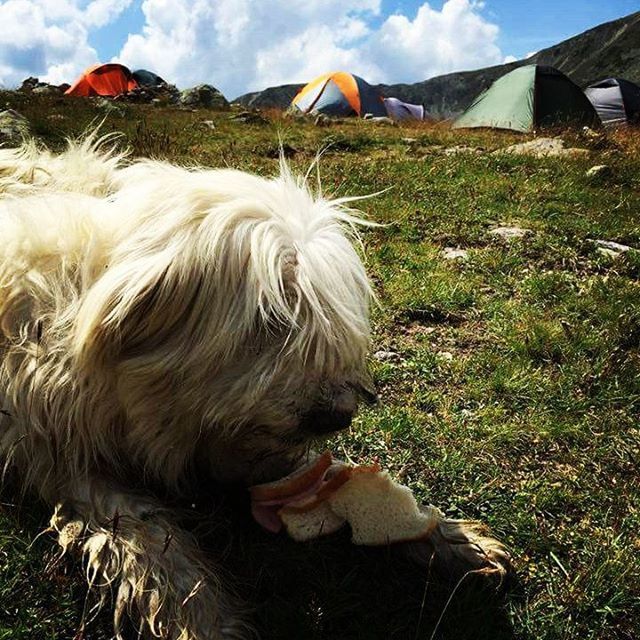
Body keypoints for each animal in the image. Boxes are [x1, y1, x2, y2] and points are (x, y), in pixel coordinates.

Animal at [0, 136, 510, 640]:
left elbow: (320, 474)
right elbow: (146, 535)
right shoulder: (63, 458)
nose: (337, 415)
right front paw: (204, 616)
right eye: (272, 318)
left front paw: (450, 536)